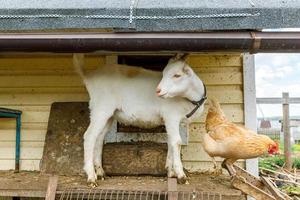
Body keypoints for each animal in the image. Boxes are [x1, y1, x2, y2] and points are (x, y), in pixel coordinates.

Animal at [73, 54, 206, 187]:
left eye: (177, 75)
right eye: (163, 74)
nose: (158, 90)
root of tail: (88, 77)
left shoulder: (172, 121)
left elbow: (170, 142)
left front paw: (170, 172)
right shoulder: (171, 117)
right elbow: (177, 142)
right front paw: (181, 176)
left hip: (108, 115)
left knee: (99, 138)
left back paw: (100, 172)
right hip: (101, 109)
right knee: (89, 136)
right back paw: (91, 177)